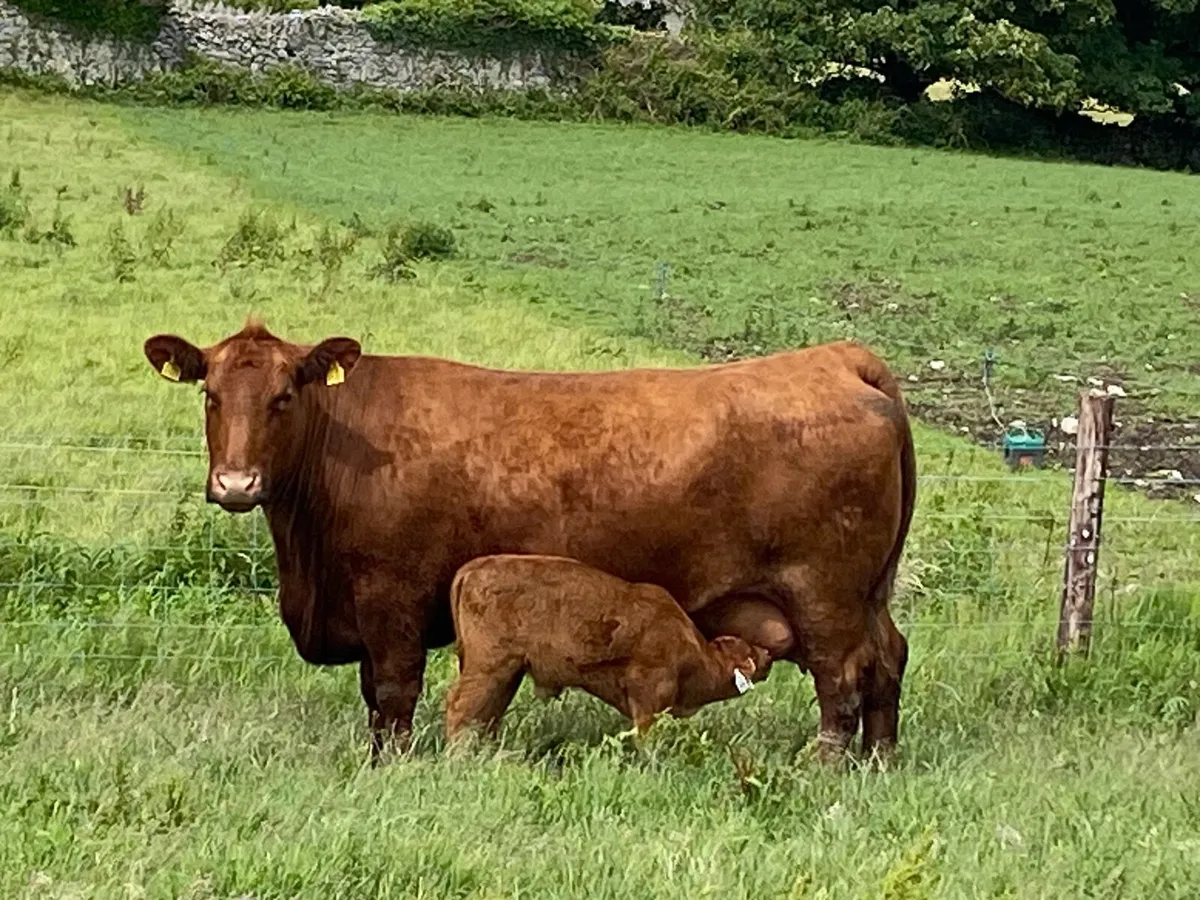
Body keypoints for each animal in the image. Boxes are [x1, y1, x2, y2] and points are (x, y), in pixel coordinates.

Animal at [445, 554, 773, 740]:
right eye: (747, 651)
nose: (767, 654)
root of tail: (472, 569)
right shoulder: (649, 696)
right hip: (490, 667)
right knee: (460, 708)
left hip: (507, 672)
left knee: (485, 714)